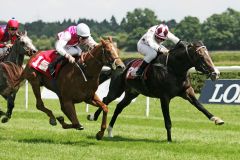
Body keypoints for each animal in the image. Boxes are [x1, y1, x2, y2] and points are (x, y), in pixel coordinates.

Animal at [89, 41, 224, 142]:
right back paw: (93, 116)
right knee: (106, 99)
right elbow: (167, 121)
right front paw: (169, 140)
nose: (215, 73)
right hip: (117, 89)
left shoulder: (187, 92)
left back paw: (110, 130)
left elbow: (200, 106)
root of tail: (120, 64)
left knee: (119, 107)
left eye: (208, 54)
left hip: (132, 93)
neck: (173, 69)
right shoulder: (164, 97)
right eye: (201, 55)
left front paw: (216, 119)